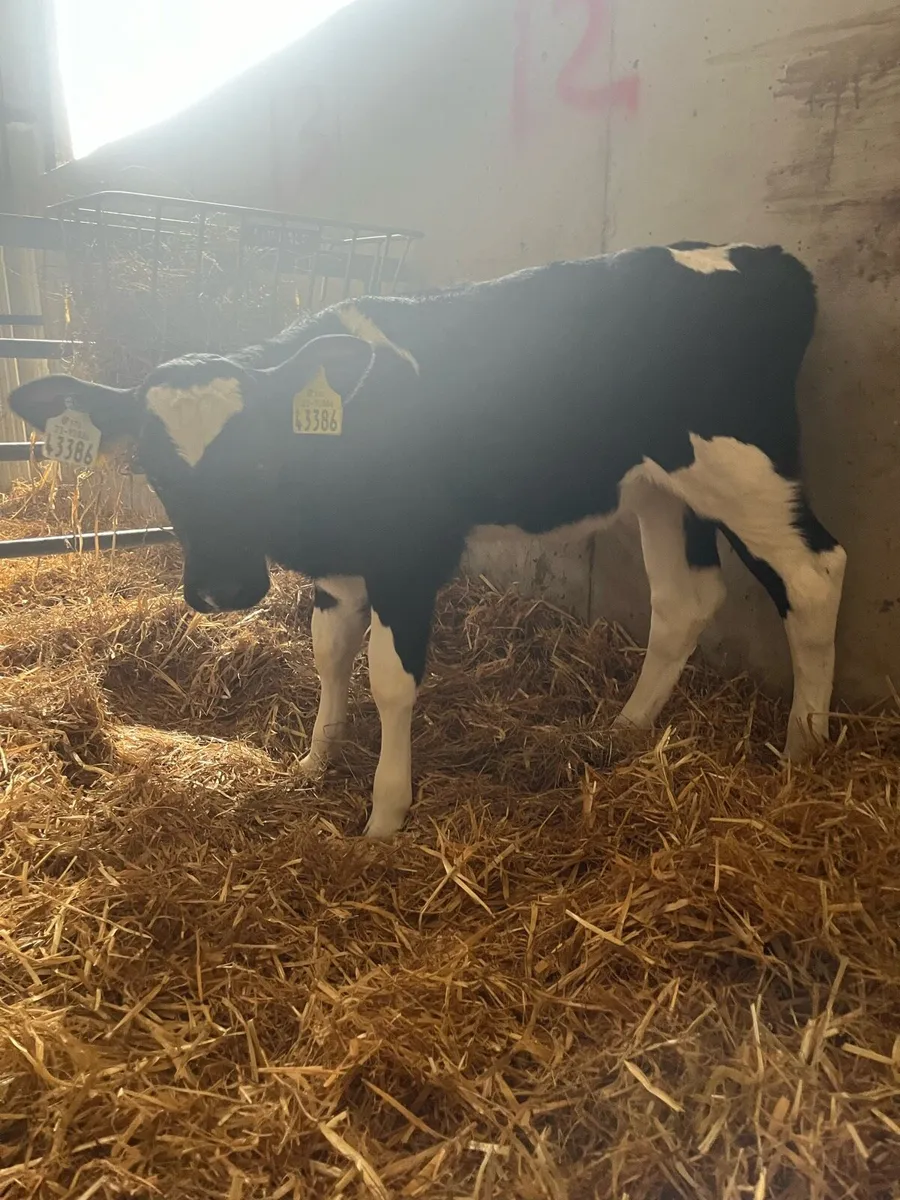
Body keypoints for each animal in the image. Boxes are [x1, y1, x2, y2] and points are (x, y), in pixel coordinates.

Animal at [9, 242, 846, 837]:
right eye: (154, 468)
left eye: (262, 454)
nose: (222, 590)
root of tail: (767, 256)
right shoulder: (340, 568)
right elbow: (327, 655)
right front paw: (313, 762)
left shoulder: (407, 559)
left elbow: (390, 680)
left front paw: (384, 815)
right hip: (664, 488)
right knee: (683, 598)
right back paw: (628, 727)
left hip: (748, 470)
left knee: (814, 574)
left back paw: (803, 746)